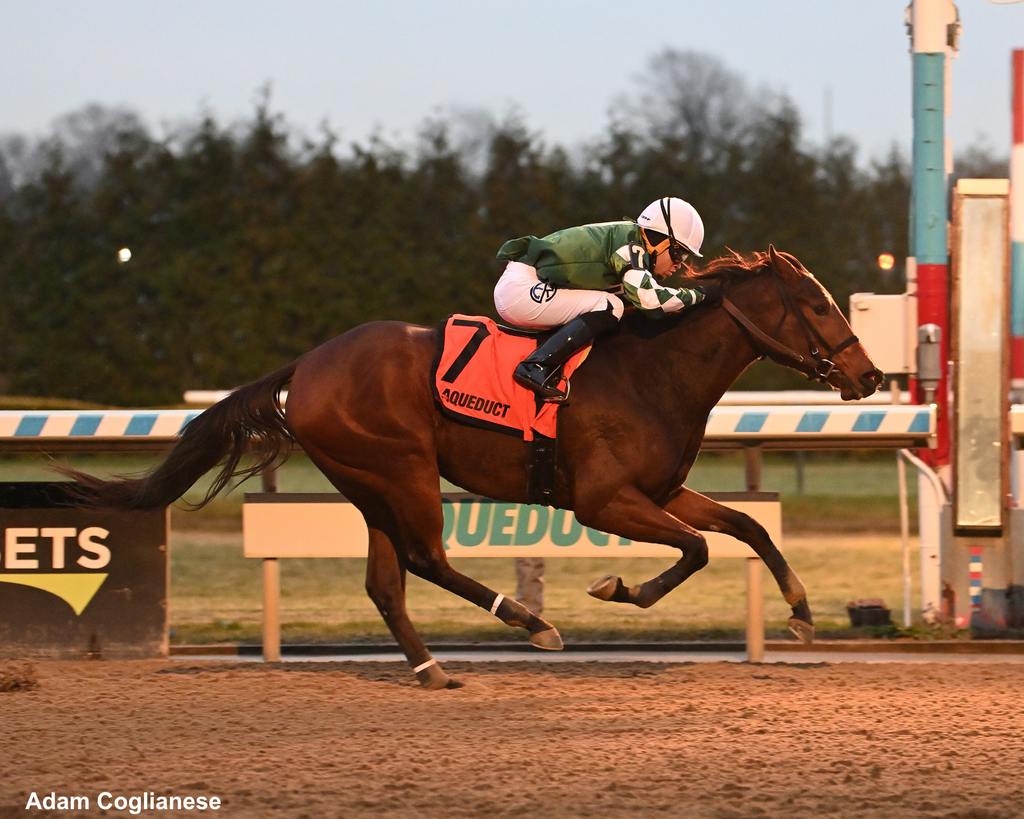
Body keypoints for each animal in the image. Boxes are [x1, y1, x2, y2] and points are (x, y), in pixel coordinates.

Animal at [66, 246, 880, 687]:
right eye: (816, 304)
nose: (869, 377)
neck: (654, 368)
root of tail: (309, 363)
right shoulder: (602, 499)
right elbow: (698, 548)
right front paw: (617, 586)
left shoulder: (662, 488)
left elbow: (745, 525)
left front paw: (802, 612)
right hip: (403, 470)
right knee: (426, 558)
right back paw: (529, 621)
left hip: (368, 484)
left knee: (386, 580)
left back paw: (432, 666)